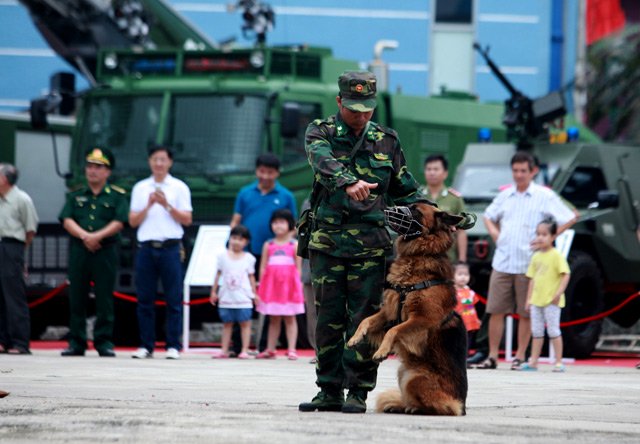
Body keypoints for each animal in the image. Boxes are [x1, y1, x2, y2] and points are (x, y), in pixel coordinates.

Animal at [348, 203, 472, 414]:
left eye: (416, 211)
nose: (388, 209)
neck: (418, 256)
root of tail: (461, 405)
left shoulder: (422, 320)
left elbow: (394, 330)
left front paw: (381, 351)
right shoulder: (389, 310)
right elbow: (366, 320)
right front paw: (355, 337)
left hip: (416, 379)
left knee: (440, 408)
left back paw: (415, 409)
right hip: (403, 373)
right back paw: (400, 407)